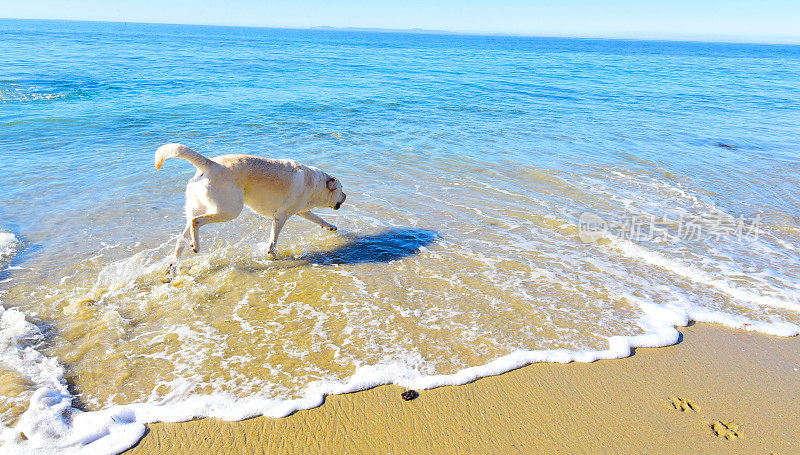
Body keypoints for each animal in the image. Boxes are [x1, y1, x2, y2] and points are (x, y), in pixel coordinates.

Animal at [155, 143, 346, 270]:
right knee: (196, 221)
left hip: (202, 207)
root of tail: (210, 164)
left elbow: (317, 218)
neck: (315, 183)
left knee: (182, 237)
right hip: (230, 210)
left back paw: (174, 263)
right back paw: (196, 246)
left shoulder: (300, 211)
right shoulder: (281, 217)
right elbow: (273, 240)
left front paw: (330, 226)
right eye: (341, 189)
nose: (346, 196)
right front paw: (273, 255)